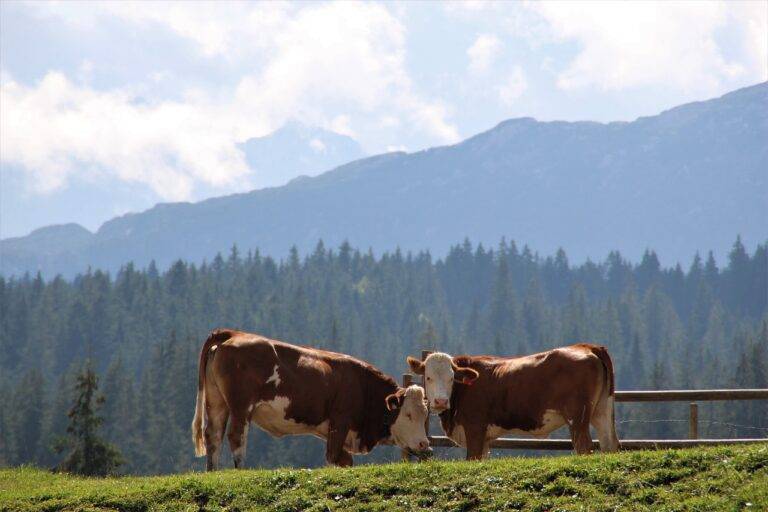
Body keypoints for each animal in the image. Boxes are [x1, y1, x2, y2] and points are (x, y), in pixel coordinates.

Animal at [192, 330, 432, 470]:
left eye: (425, 415)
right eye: (408, 415)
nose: (424, 444)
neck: (363, 385)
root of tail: (233, 334)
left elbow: (345, 460)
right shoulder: (339, 422)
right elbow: (332, 456)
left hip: (217, 403)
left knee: (213, 435)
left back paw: (212, 472)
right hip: (241, 406)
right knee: (236, 436)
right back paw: (241, 470)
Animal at [408, 344, 616, 460]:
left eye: (452, 378)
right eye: (428, 377)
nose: (441, 401)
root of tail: (586, 346)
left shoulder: (475, 428)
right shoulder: (484, 439)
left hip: (578, 417)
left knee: (585, 447)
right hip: (602, 411)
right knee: (609, 444)